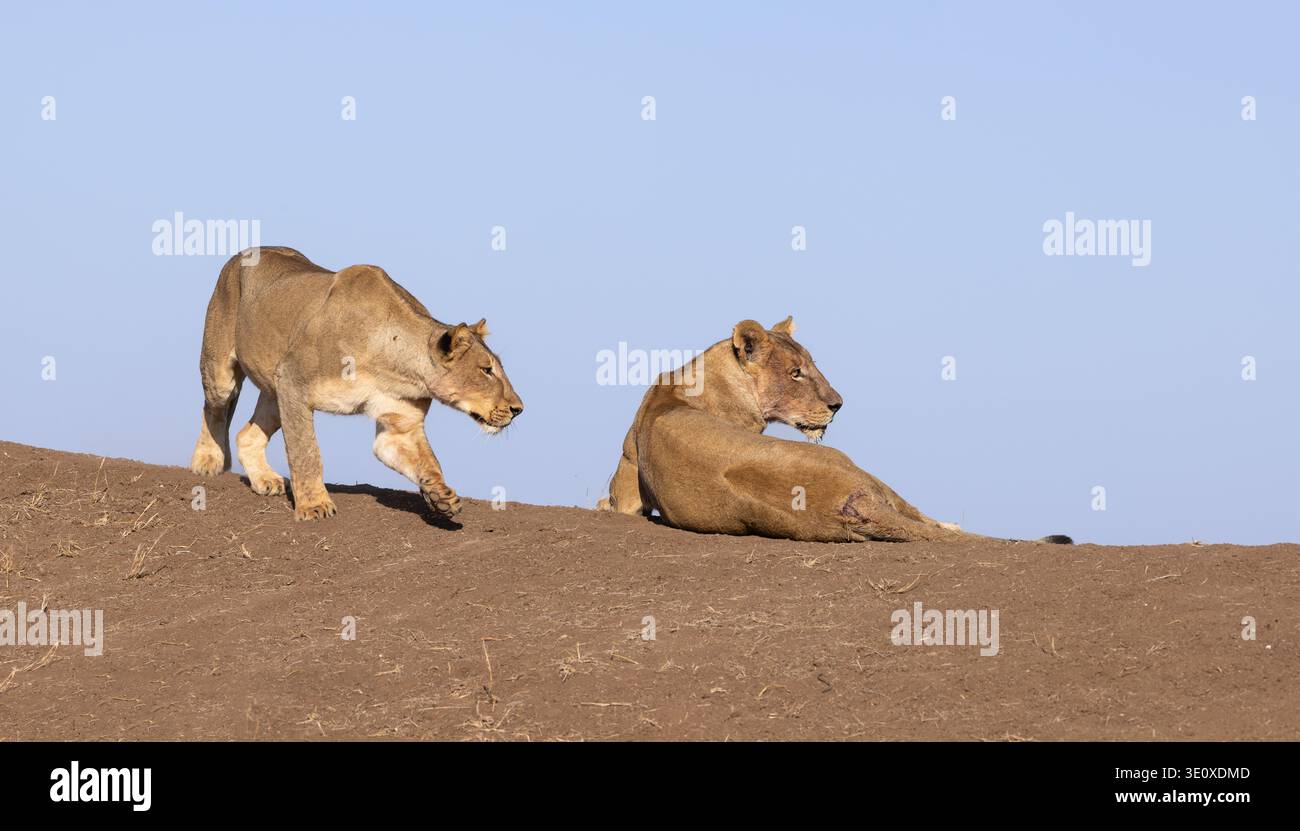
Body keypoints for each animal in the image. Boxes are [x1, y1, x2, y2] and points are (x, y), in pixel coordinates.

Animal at [190, 247, 523, 521]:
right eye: (487, 370)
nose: (518, 409)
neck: (397, 363)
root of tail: (244, 252)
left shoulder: (400, 425)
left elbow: (427, 462)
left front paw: (441, 496)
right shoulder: (294, 379)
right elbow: (306, 451)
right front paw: (314, 506)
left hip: (275, 393)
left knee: (247, 434)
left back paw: (265, 480)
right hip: (223, 372)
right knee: (214, 408)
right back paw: (207, 461)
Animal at [598, 317, 1071, 544]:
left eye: (810, 365)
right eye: (795, 373)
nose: (837, 405)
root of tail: (852, 501)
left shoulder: (627, 489)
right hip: (859, 468)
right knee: (918, 513)